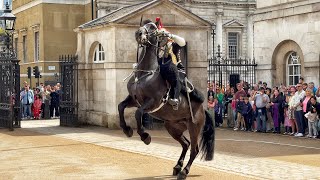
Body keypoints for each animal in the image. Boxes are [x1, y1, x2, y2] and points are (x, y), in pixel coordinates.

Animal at [118, 22, 215, 180]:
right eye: (143, 24)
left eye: (152, 28)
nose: (139, 33)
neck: (144, 74)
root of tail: (202, 109)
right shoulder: (133, 99)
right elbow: (121, 106)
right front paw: (127, 129)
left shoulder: (153, 102)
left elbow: (138, 113)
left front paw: (145, 135)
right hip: (173, 127)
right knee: (186, 144)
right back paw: (177, 166)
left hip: (194, 127)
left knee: (194, 149)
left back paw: (184, 171)